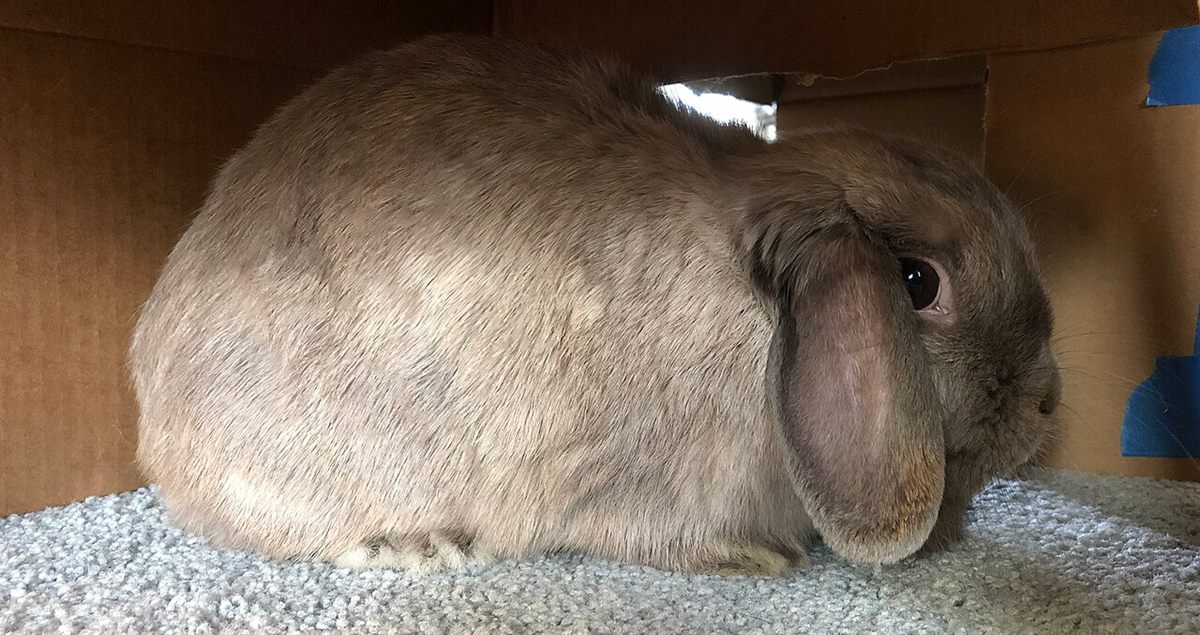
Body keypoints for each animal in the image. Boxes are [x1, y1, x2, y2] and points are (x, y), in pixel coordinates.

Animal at [130, 33, 1062, 576]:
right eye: (918, 284)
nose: (1047, 403)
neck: (750, 319)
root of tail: (152, 424)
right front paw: (752, 560)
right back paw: (414, 544)